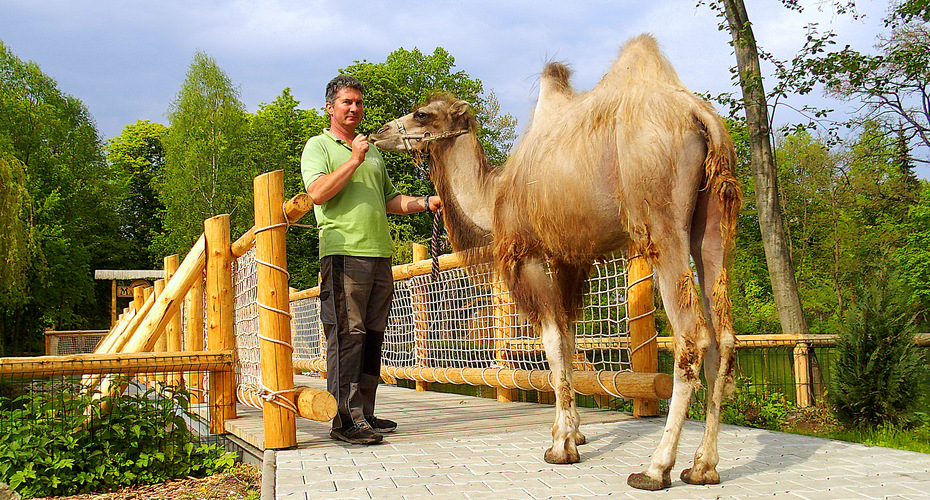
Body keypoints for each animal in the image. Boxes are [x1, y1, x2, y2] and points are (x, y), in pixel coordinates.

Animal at [370, 36, 740, 492]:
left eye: (422, 113)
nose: (379, 131)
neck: (493, 195)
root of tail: (701, 117)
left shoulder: (526, 251)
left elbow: (550, 340)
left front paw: (561, 444)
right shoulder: (568, 257)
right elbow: (568, 336)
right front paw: (576, 432)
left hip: (660, 218)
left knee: (693, 336)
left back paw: (656, 468)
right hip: (713, 220)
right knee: (723, 337)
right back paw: (703, 466)